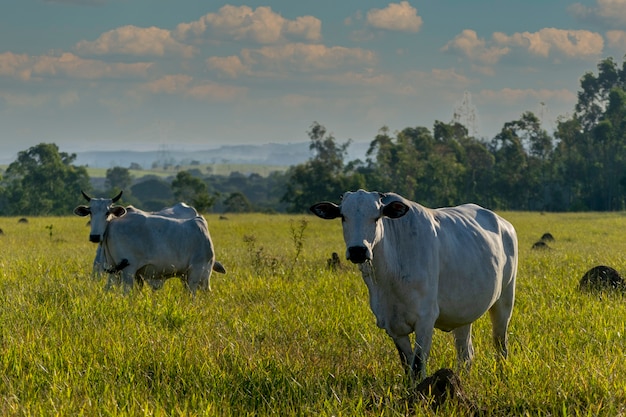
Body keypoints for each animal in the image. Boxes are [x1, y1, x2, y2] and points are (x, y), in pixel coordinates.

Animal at [308, 190, 516, 378]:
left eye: (376, 217)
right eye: (343, 217)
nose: (358, 250)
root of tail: (504, 224)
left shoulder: (425, 319)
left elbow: (417, 366)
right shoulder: (392, 325)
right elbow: (408, 366)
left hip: (504, 302)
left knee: (500, 346)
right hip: (463, 314)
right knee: (466, 354)